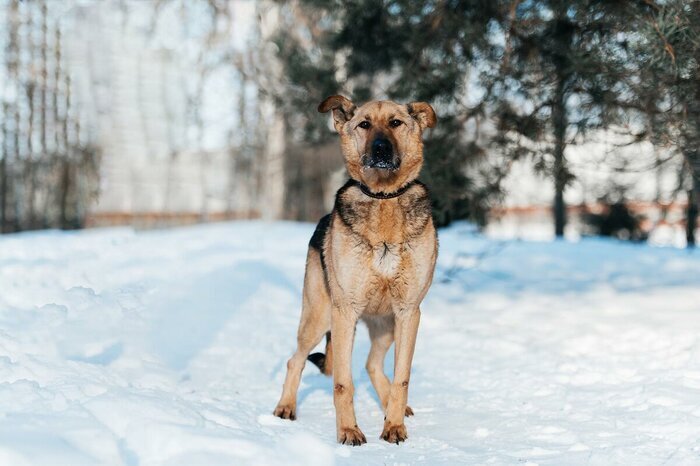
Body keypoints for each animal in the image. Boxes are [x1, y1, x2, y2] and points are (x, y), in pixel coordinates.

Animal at [273, 95, 438, 445]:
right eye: (364, 124)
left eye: (395, 123)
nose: (380, 149)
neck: (384, 197)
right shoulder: (345, 311)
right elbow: (342, 383)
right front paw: (348, 430)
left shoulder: (408, 312)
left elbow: (402, 377)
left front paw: (393, 426)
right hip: (319, 317)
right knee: (296, 360)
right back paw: (286, 407)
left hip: (386, 325)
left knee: (372, 364)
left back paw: (390, 408)